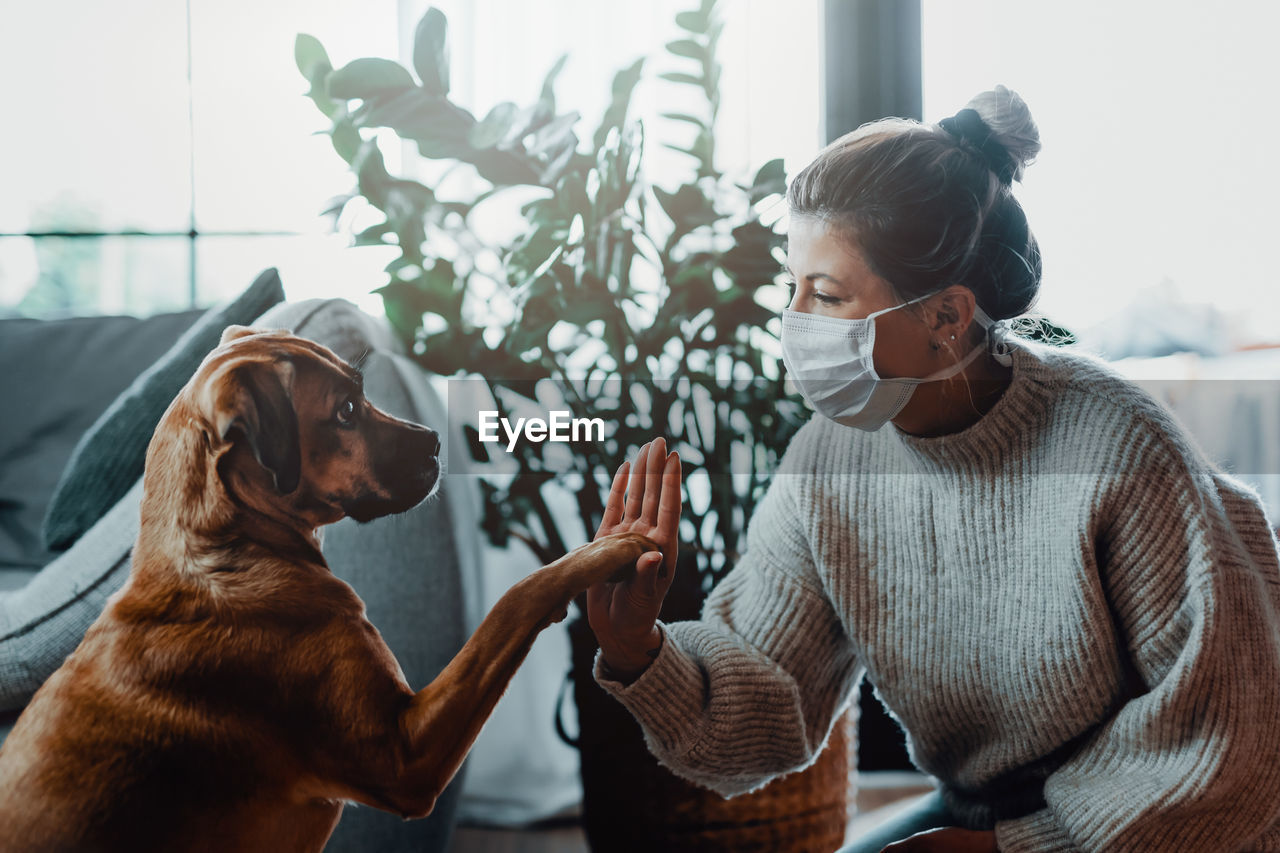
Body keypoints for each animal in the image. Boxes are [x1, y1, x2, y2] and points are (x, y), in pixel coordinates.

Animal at [0, 326, 650, 850]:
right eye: (345, 411)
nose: (436, 442)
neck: (227, 551)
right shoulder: (404, 756)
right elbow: (514, 601)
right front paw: (600, 551)